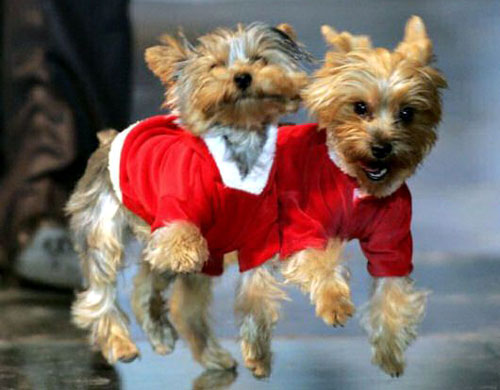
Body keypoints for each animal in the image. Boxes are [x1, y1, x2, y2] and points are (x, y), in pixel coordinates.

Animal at [278, 16, 446, 376]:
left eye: (407, 113)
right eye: (359, 107)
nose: (381, 147)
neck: (357, 186)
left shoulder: (392, 241)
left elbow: (391, 293)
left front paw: (390, 351)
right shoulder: (302, 223)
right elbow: (319, 260)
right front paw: (335, 304)